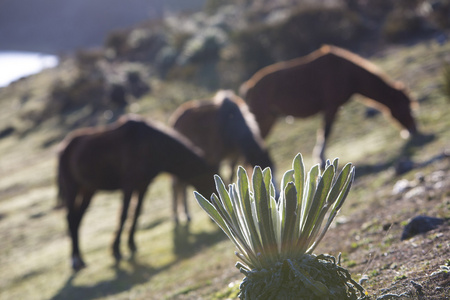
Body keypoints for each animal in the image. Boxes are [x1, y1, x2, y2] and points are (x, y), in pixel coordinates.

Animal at [57, 114, 216, 270]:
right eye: (211, 181)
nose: (214, 217)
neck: (150, 146)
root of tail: (64, 147)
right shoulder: (129, 186)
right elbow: (124, 215)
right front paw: (116, 250)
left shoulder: (143, 186)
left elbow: (137, 213)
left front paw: (131, 244)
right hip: (72, 189)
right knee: (71, 218)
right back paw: (75, 261)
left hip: (88, 190)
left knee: (77, 219)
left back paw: (81, 259)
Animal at [169, 90, 274, 221]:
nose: (275, 196)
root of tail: (175, 119)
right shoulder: (216, 157)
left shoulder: (235, 155)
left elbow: (231, 174)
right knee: (177, 185)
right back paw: (178, 216)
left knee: (181, 184)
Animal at [239, 44, 418, 166]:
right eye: (405, 107)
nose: (413, 131)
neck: (348, 73)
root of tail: (250, 86)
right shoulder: (331, 107)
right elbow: (325, 131)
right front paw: (320, 159)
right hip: (263, 121)